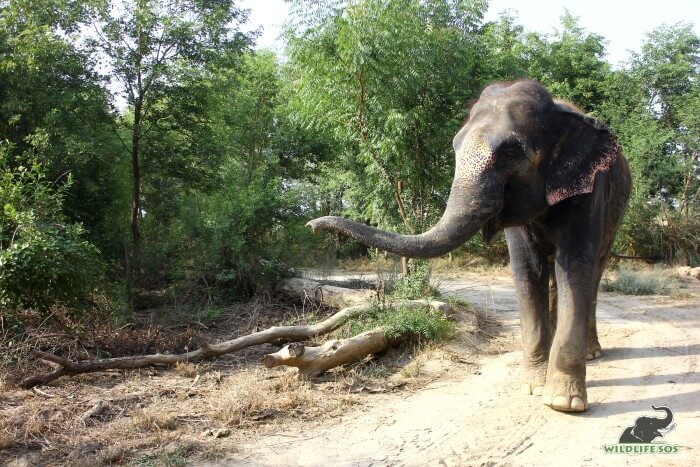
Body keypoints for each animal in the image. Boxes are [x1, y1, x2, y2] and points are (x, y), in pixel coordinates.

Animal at [306, 80, 628, 414]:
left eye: (511, 151)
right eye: (455, 146)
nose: (312, 225)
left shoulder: (590, 189)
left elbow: (576, 265)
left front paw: (564, 402)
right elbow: (527, 269)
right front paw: (535, 388)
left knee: (594, 272)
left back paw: (592, 353)